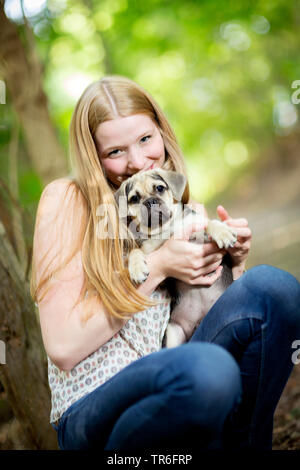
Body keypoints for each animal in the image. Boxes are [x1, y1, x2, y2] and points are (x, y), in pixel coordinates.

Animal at [114, 170, 237, 348]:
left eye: (159, 188)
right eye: (135, 198)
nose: (150, 202)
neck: (164, 229)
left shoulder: (196, 230)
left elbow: (207, 223)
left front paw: (222, 232)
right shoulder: (150, 253)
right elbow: (134, 251)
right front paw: (136, 269)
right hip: (173, 332)